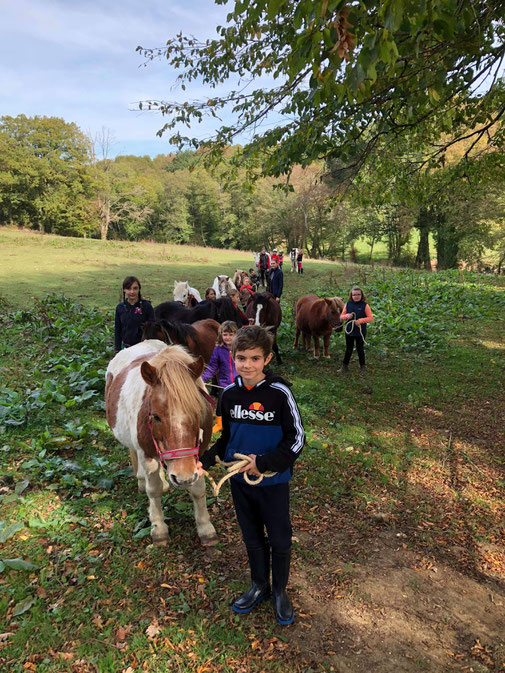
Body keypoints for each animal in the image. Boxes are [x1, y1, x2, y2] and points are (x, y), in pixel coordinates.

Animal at [104, 342, 217, 544]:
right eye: (156, 416)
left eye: (197, 412)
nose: (183, 477)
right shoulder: (146, 454)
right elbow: (154, 490)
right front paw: (159, 529)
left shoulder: (199, 455)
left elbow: (198, 489)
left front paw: (205, 528)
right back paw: (142, 481)